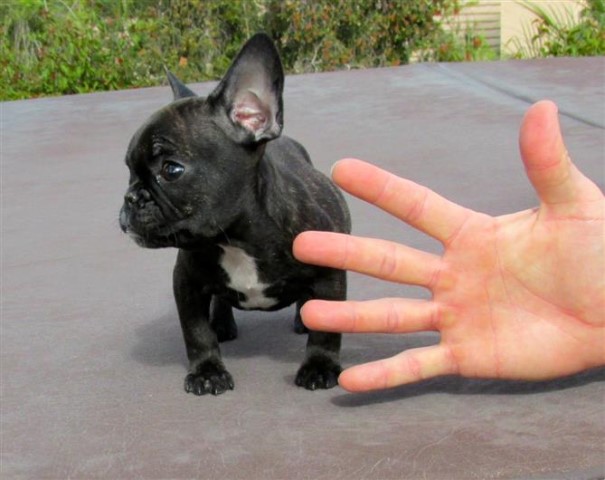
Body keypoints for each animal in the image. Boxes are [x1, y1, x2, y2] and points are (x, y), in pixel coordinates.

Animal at [118, 32, 350, 394]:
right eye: (129, 170)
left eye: (171, 170)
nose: (131, 197)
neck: (235, 238)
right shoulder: (187, 282)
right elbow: (196, 332)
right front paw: (207, 371)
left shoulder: (330, 275)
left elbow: (327, 328)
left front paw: (319, 365)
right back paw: (222, 323)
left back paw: (302, 317)